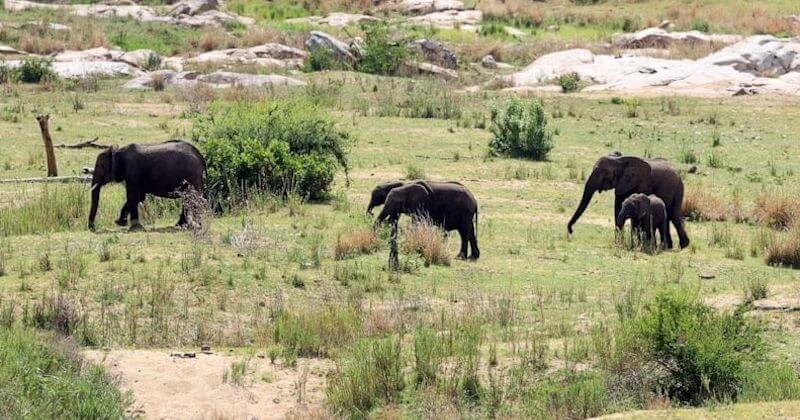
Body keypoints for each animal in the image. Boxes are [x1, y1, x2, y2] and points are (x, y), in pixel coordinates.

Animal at [564, 155, 692, 249]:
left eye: (604, 173)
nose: (571, 231)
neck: (619, 161)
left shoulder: (642, 182)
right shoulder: (621, 185)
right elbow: (617, 208)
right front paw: (618, 244)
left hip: (675, 187)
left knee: (673, 215)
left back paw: (683, 246)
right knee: (671, 215)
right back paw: (671, 246)